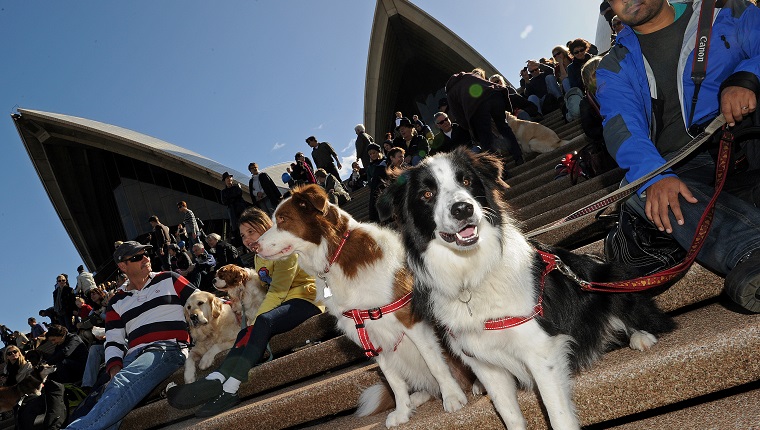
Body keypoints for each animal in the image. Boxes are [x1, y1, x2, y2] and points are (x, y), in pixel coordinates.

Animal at [254, 185, 470, 426]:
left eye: (283, 219)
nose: (253, 246)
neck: (335, 256)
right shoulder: (370, 334)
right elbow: (393, 380)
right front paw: (402, 411)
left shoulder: (410, 319)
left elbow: (435, 364)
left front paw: (452, 397)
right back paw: (418, 397)